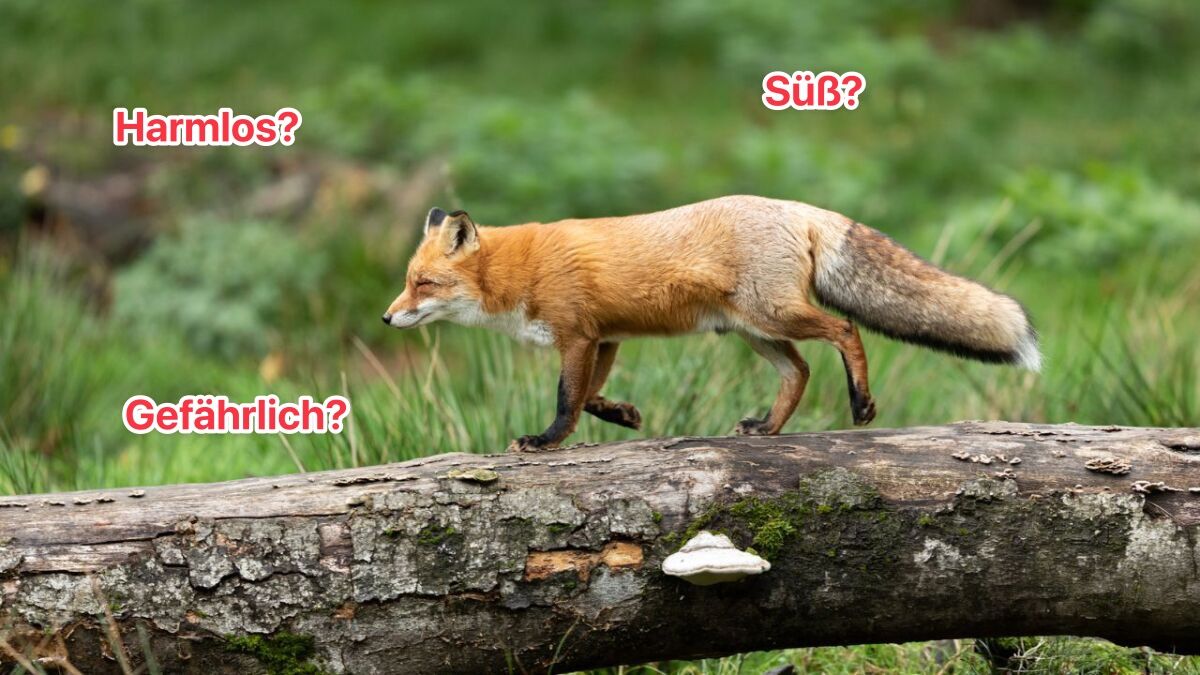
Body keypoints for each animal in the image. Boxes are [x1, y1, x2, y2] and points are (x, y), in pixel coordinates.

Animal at [383, 195, 1040, 452]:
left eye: (423, 284)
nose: (388, 316)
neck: (520, 270)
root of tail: (796, 207)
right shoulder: (606, 337)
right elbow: (592, 396)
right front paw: (625, 415)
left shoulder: (577, 337)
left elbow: (568, 399)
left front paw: (544, 442)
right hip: (754, 331)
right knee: (800, 371)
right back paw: (769, 429)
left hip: (773, 314)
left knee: (845, 332)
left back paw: (861, 403)